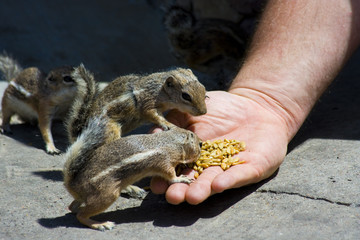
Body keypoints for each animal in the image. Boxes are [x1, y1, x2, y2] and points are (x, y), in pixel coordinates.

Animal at [63, 114, 201, 231]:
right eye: (197, 142)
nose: (201, 143)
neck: (171, 141)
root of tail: (72, 184)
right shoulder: (164, 161)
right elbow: (170, 176)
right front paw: (181, 178)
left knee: (73, 207)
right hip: (107, 194)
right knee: (81, 215)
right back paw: (100, 224)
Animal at [67, 63, 208, 143]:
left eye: (204, 88)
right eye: (186, 96)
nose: (203, 112)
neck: (159, 89)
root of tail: (83, 130)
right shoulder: (148, 101)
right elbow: (152, 114)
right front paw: (167, 124)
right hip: (108, 130)